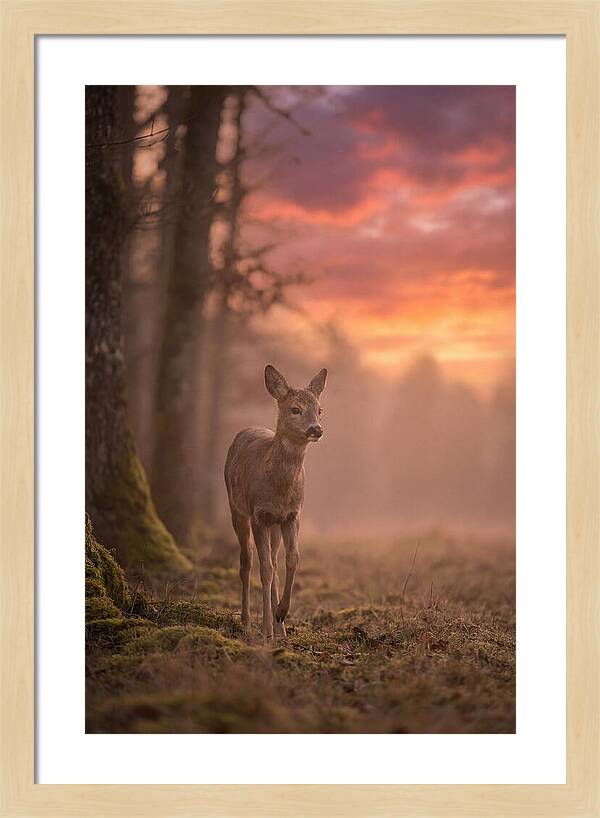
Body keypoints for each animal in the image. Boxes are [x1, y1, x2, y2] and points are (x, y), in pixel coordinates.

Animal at [224, 364, 327, 642]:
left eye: (320, 410)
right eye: (295, 409)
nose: (316, 429)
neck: (279, 490)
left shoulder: (292, 515)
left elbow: (292, 559)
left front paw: (281, 613)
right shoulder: (259, 514)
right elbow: (265, 570)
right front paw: (266, 630)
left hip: (275, 525)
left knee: (273, 557)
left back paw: (280, 626)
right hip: (237, 508)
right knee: (247, 560)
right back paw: (247, 620)